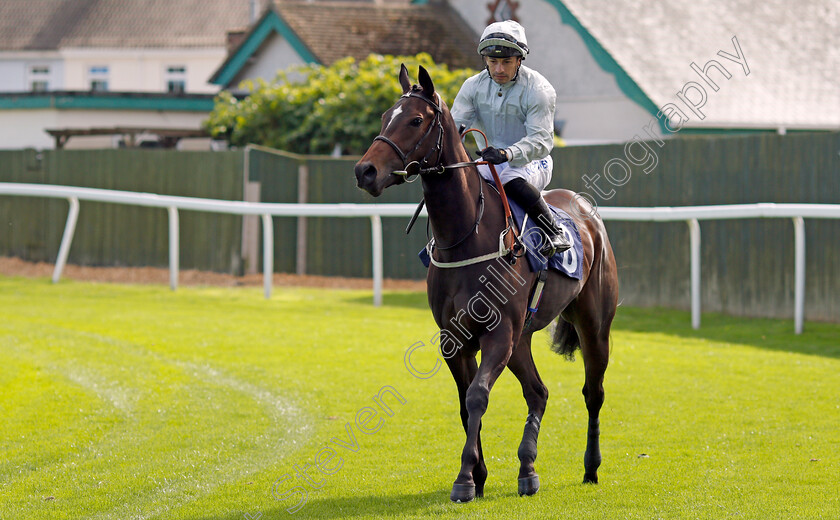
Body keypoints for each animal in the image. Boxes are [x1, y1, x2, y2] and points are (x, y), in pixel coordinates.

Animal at [352, 65, 620, 504]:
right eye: (384, 117)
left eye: (415, 120)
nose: (365, 171)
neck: (467, 233)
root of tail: (585, 210)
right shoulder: (454, 338)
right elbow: (465, 403)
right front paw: (478, 475)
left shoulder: (498, 333)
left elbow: (478, 395)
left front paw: (464, 478)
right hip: (522, 339)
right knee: (538, 392)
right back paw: (528, 469)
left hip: (593, 325)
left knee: (592, 392)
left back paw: (591, 467)